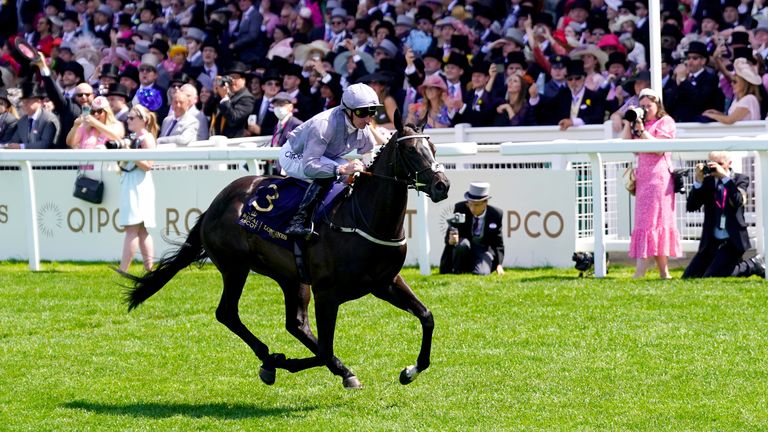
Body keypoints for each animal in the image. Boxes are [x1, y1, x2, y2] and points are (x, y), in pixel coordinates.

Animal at [123, 115, 450, 388]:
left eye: (433, 147)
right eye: (411, 151)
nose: (442, 185)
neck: (363, 218)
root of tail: (215, 204)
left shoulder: (385, 282)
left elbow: (427, 316)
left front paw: (410, 370)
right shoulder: (327, 293)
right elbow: (326, 348)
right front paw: (325, 368)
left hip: (291, 277)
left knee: (295, 324)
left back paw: (274, 361)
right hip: (235, 267)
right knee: (228, 313)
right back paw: (271, 358)